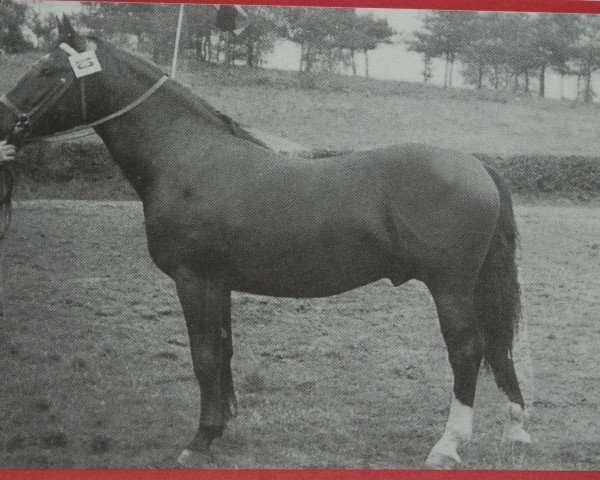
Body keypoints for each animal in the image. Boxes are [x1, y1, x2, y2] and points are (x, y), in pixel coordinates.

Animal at [2, 16, 532, 466]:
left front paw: (199, 440)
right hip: (477, 284)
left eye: (48, 69)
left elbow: (204, 357)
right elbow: (223, 352)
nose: (4, 126)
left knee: (467, 350)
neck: (187, 157)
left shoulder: (194, 282)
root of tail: (475, 164)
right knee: (499, 348)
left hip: (451, 287)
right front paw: (220, 426)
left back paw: (448, 445)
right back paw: (517, 431)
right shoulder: (218, 285)